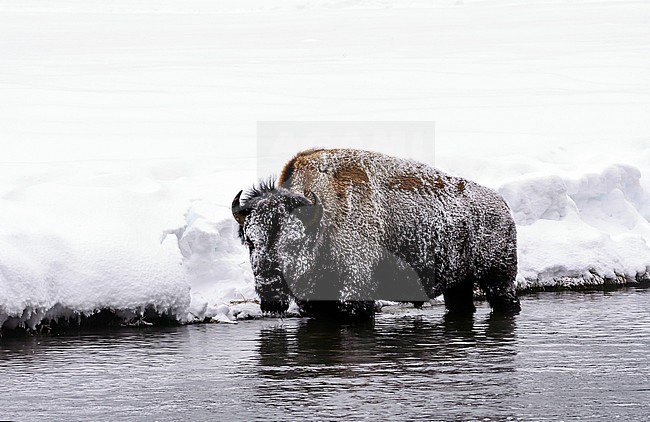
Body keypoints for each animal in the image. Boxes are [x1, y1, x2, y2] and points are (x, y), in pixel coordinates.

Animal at [230, 148, 520, 320]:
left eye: (293, 243)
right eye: (251, 242)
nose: (268, 289)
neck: (322, 220)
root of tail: (502, 205)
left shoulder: (355, 295)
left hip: (499, 279)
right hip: (460, 284)